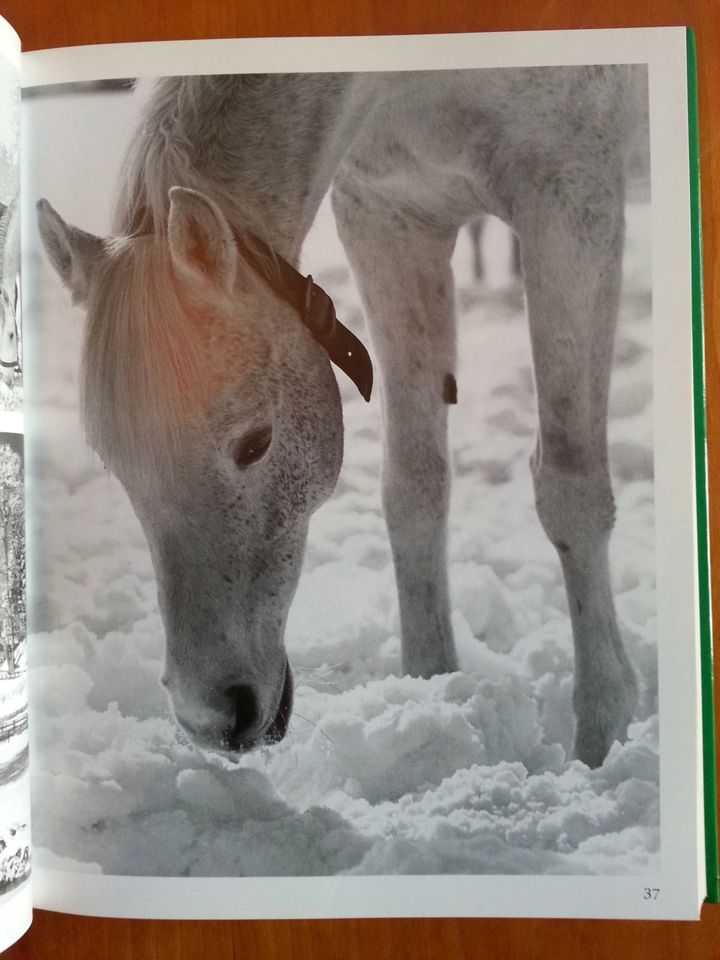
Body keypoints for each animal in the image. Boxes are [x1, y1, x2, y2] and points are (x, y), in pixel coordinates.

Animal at [36, 65, 644, 772]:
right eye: (115, 463)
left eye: (255, 443)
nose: (212, 719)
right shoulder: (389, 216)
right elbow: (413, 486)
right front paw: (430, 693)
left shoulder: (571, 203)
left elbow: (570, 490)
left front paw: (599, 739)